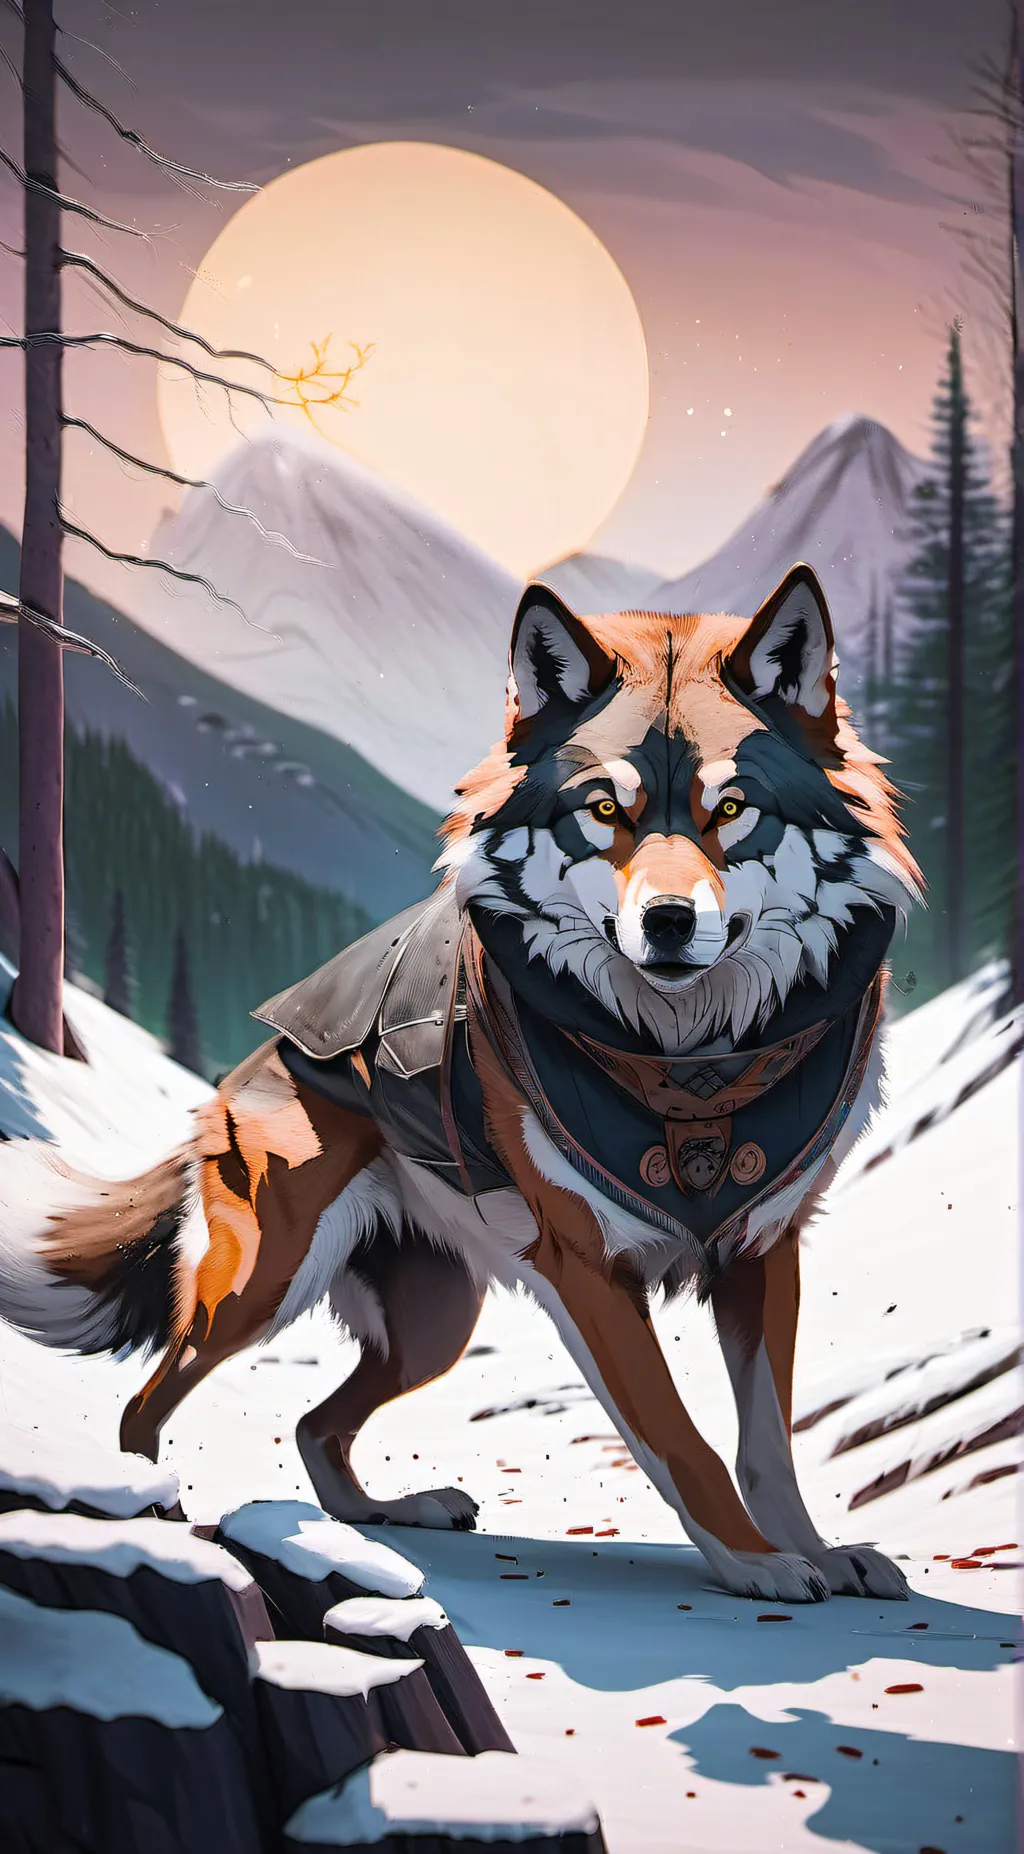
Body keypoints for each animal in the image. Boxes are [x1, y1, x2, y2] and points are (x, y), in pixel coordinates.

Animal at [0, 564, 921, 1602]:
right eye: (604, 811)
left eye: (733, 810)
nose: (671, 923)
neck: (691, 1068)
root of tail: (229, 1084)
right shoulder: (592, 1272)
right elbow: (681, 1439)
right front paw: (757, 1563)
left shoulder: (764, 1253)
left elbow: (768, 1445)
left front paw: (818, 1552)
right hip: (258, 1292)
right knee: (144, 1405)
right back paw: (155, 1515)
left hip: (436, 1324)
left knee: (314, 1425)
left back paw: (387, 1513)